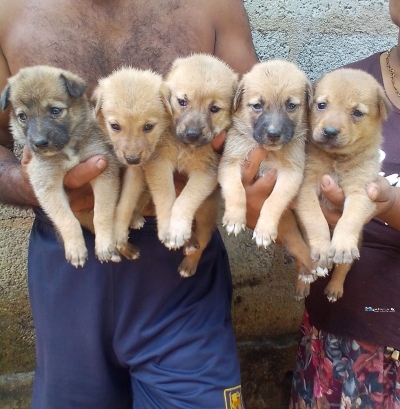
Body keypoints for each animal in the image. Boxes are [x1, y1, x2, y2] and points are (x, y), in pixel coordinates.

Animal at [0, 65, 121, 266]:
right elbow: (66, 219)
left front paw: (104, 245)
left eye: (55, 111)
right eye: (22, 117)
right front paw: (76, 250)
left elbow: (102, 213)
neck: (68, 149)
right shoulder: (47, 183)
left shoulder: (104, 168)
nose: (40, 143)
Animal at [92, 67, 169, 258]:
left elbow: (126, 203)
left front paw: (119, 234)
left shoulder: (136, 173)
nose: (132, 160)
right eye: (115, 126)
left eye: (148, 127)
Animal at [296, 67, 392, 300]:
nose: (330, 132)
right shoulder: (306, 186)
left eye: (357, 112)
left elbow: (349, 219)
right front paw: (323, 248)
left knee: (343, 268)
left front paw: (340, 247)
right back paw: (303, 281)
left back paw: (334, 288)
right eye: (322, 105)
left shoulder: (362, 191)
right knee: (303, 262)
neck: (336, 159)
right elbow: (316, 219)